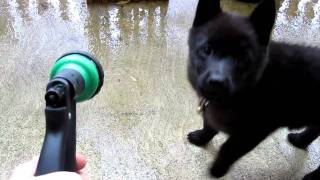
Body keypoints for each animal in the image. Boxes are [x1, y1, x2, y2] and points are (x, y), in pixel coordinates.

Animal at [188, 0, 320, 179]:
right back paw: (300, 139)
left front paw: (217, 169)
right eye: (207, 49)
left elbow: (228, 150)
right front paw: (201, 137)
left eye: (242, 58)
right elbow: (209, 125)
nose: (216, 82)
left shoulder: (252, 133)